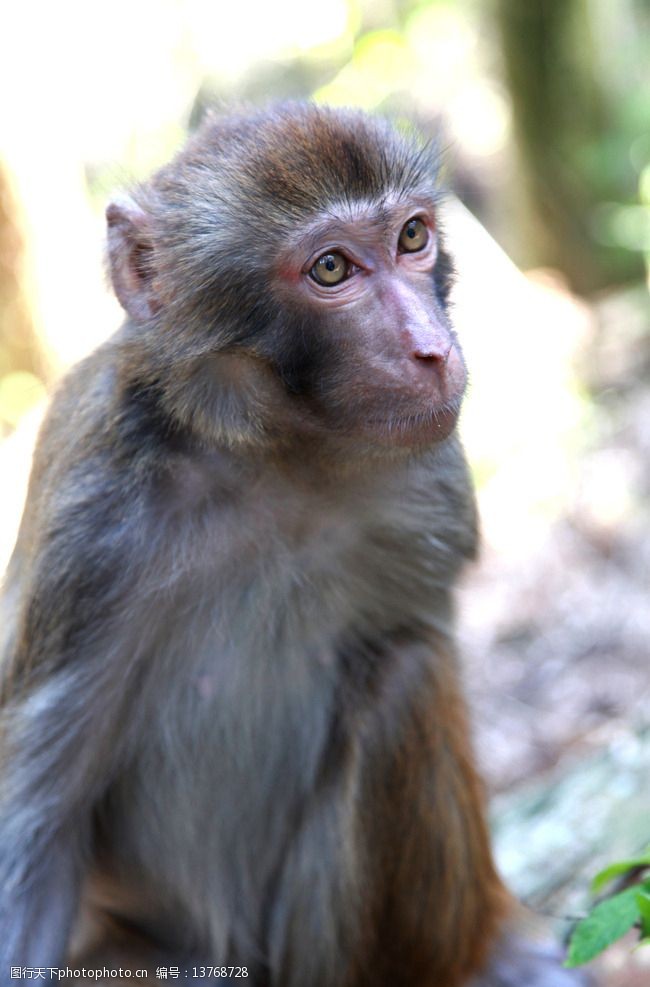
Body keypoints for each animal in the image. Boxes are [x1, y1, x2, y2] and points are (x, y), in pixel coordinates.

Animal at [0, 106, 588, 987]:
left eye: (412, 235)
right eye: (332, 268)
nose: (432, 349)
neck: (274, 458)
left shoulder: (431, 486)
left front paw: (505, 947)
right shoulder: (91, 521)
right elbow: (37, 828)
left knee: (405, 674)